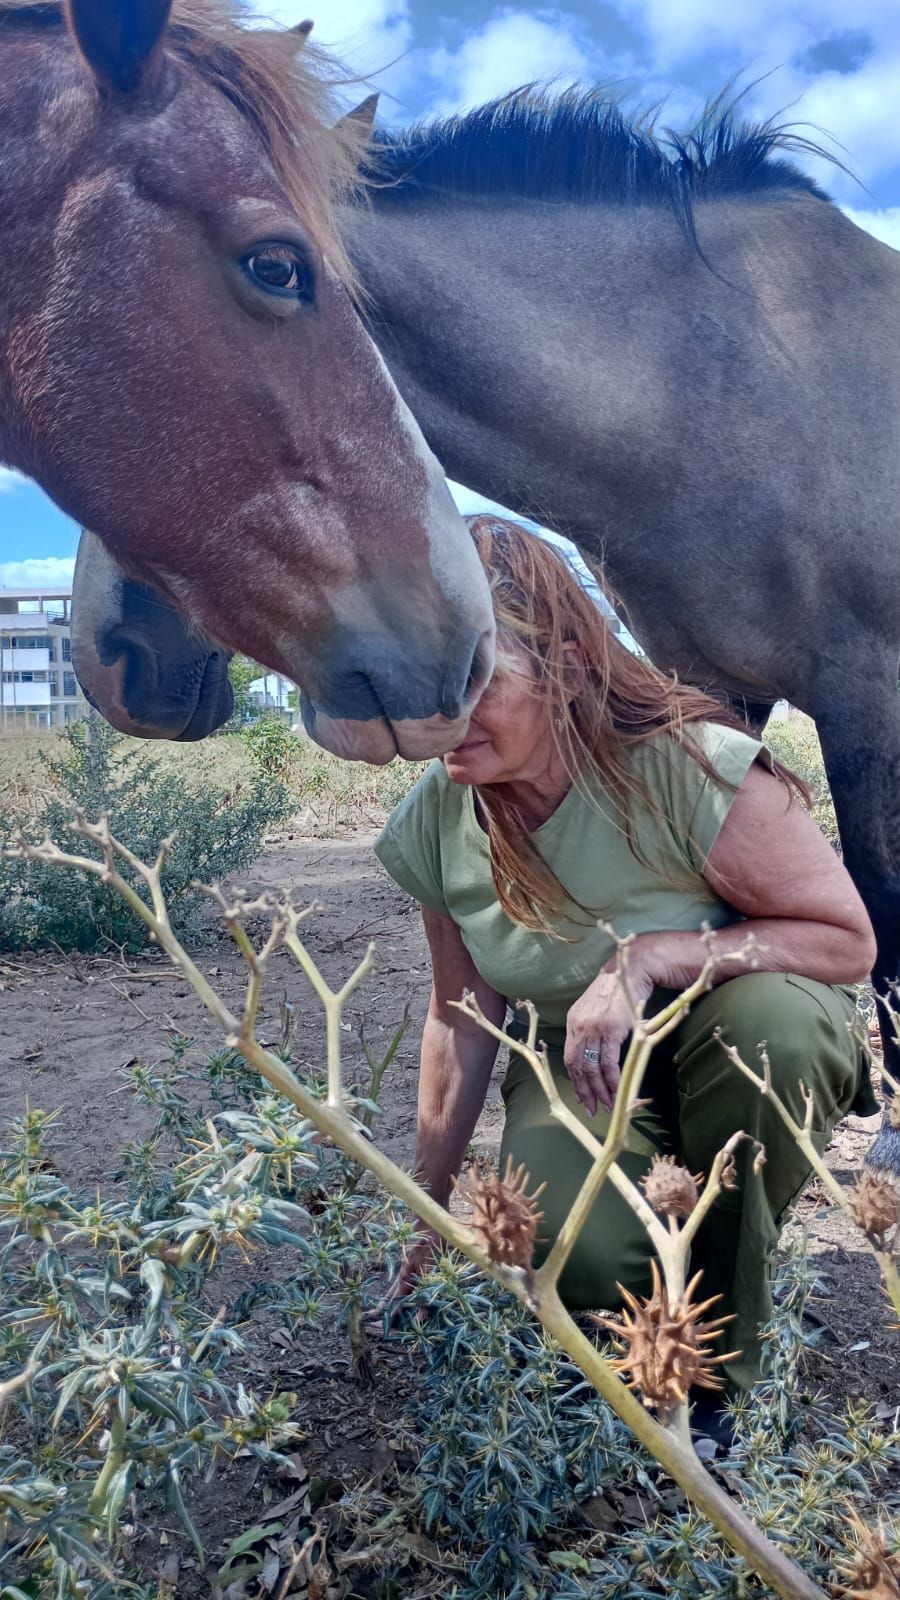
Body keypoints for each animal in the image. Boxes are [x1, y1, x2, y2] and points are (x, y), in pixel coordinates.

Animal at [70, 83, 900, 1171]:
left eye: (263, 284)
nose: (112, 659)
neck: (721, 388)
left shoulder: (866, 690)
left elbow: (879, 906)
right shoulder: (711, 686)